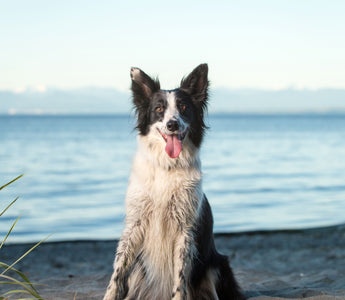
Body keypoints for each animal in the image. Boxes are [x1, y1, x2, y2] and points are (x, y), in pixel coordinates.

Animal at [103, 64, 243, 298]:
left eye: (184, 107)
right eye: (159, 109)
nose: (172, 124)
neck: (167, 168)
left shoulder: (184, 230)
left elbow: (180, 279)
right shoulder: (135, 224)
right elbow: (118, 271)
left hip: (216, 266)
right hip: (139, 271)